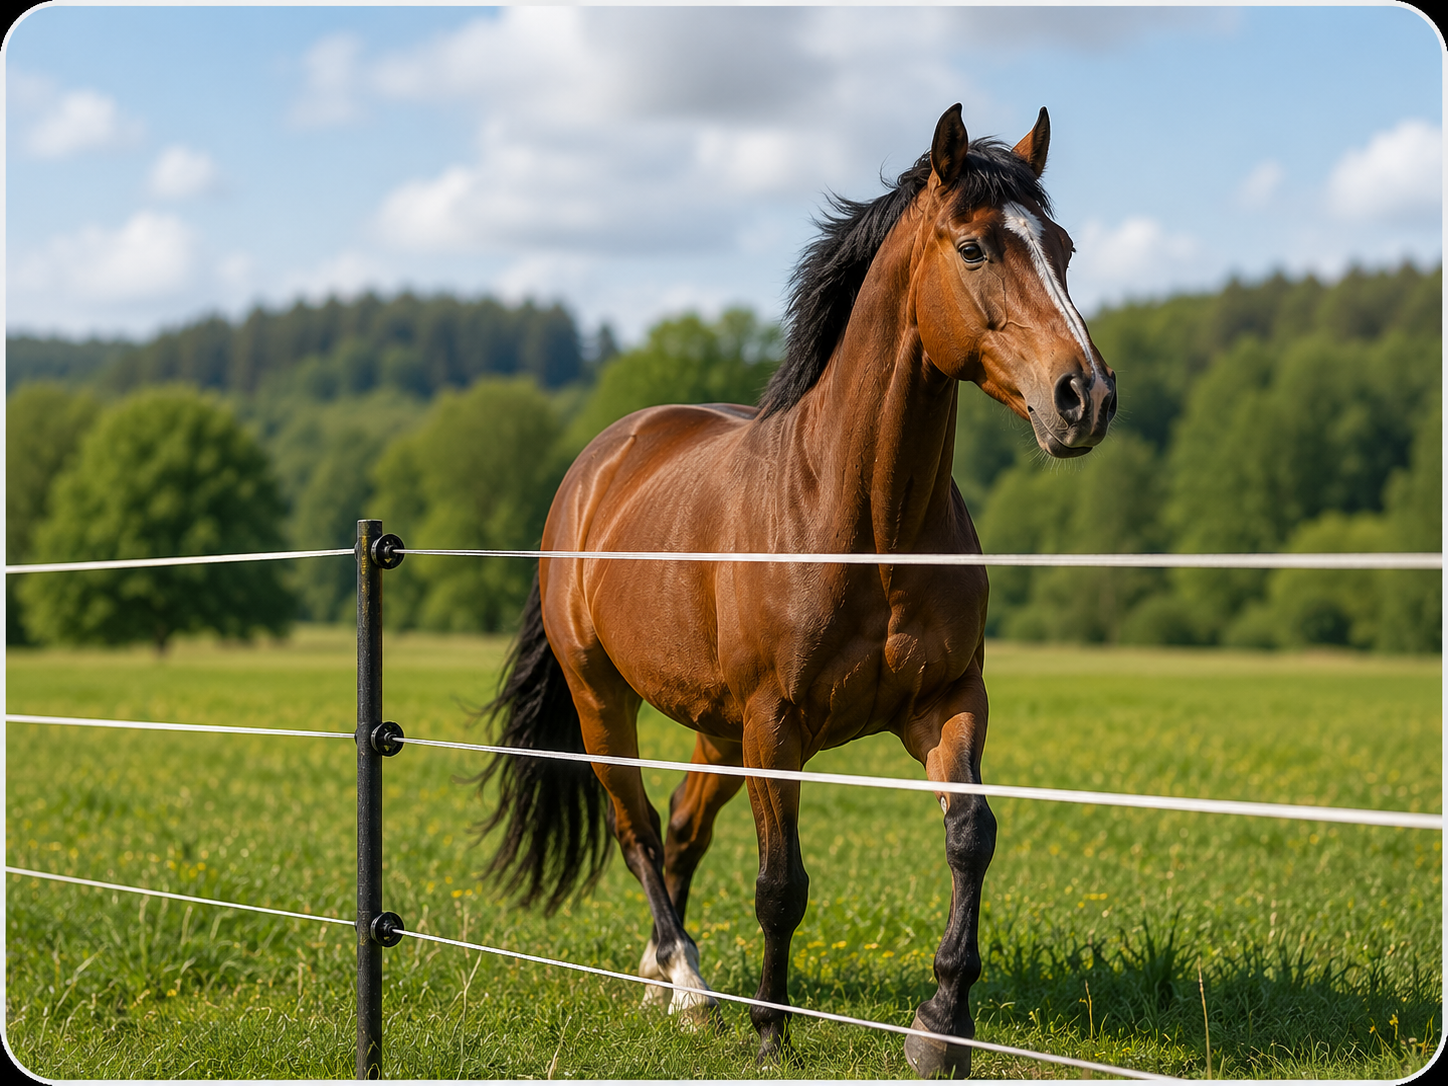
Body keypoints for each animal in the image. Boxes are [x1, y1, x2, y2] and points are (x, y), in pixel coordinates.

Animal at [477, 103, 1116, 1078]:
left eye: (1064, 248)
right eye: (974, 248)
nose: (1085, 397)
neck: (866, 524)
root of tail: (599, 462)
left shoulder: (946, 702)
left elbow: (971, 836)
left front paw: (942, 1024)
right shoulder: (776, 724)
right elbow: (781, 885)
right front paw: (771, 1029)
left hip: (714, 726)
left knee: (680, 830)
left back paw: (661, 973)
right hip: (604, 702)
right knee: (637, 831)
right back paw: (691, 989)